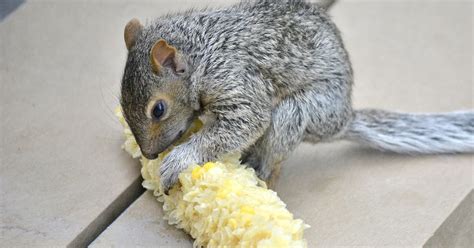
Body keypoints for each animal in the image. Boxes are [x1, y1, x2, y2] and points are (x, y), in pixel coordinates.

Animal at [119, 0, 474, 192]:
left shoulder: (236, 78)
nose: (149, 154)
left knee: (277, 152)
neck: (202, 54)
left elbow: (248, 120)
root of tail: (343, 120)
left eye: (158, 109)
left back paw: (261, 177)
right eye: (122, 101)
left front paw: (181, 158)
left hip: (303, 112)